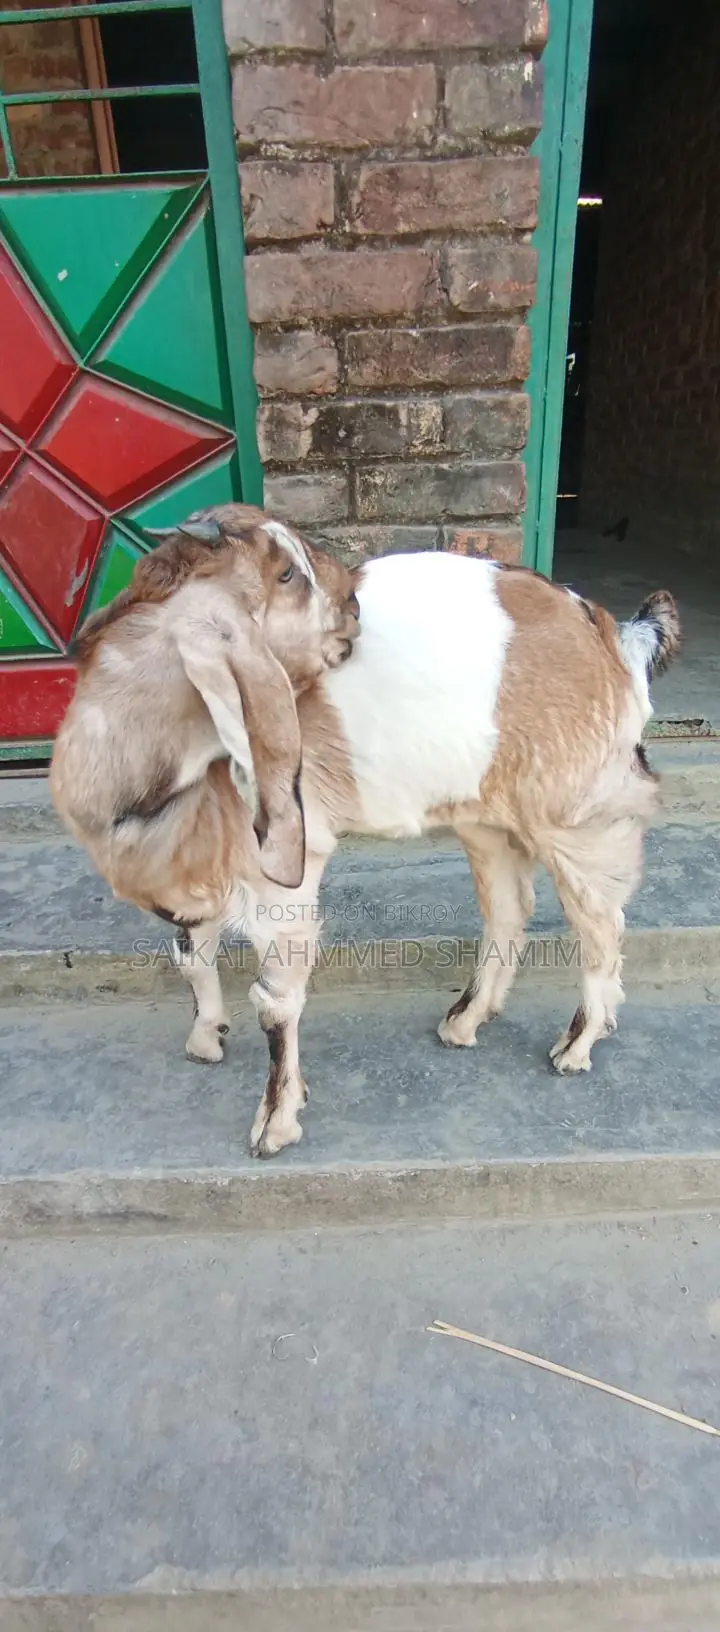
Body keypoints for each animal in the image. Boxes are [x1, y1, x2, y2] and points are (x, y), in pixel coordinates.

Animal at [50, 504, 680, 1158]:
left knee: (601, 924)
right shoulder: (196, 868)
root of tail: (615, 636)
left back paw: (576, 1046)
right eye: (286, 574)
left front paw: (275, 1122)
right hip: (483, 814)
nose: (353, 607)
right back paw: (464, 1021)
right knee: (509, 909)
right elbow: (190, 957)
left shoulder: (283, 873)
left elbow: (275, 1001)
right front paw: (206, 1037)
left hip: (574, 811)